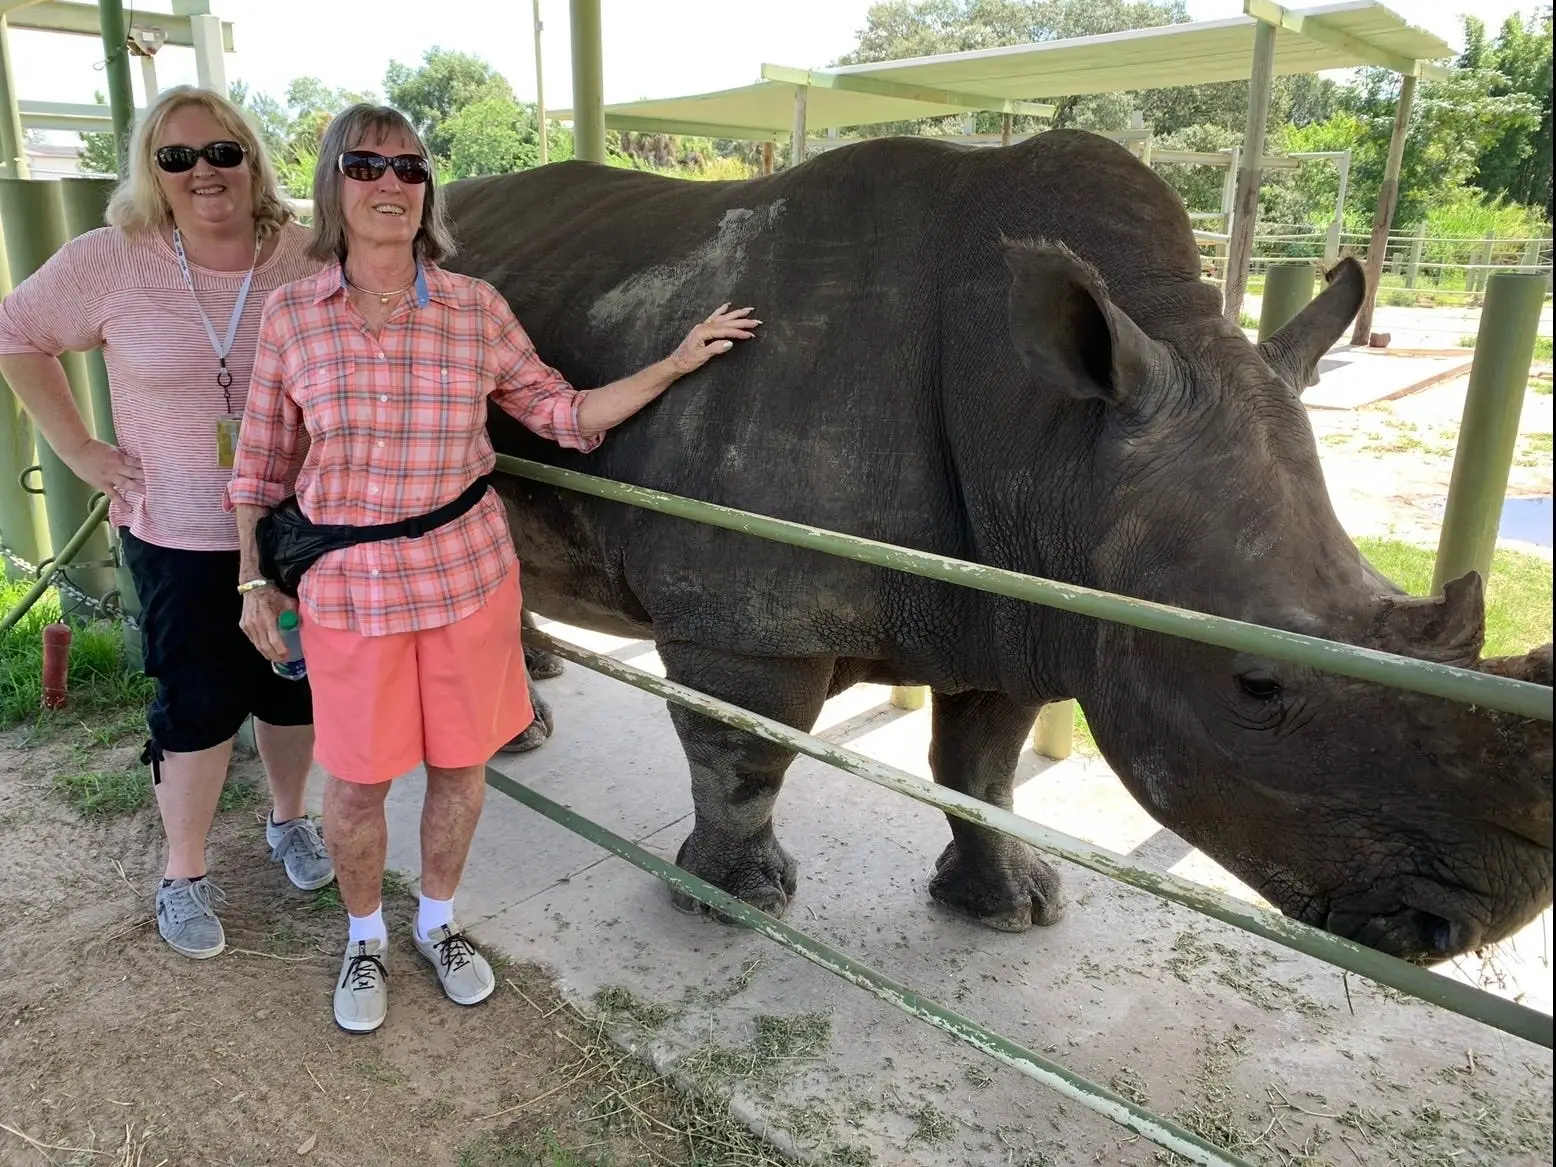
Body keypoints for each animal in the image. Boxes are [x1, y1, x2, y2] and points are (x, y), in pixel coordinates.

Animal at [441, 129, 1553, 964]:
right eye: (1252, 684)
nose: (1481, 913)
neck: (1050, 445)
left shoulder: (1026, 596)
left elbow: (980, 770)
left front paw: (1011, 909)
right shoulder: (743, 617)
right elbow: (744, 756)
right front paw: (731, 903)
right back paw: (520, 739)